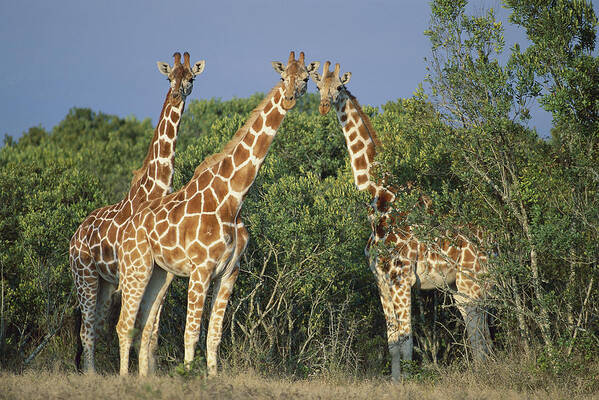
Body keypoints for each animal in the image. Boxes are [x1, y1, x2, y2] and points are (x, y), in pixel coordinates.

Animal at [69, 51, 205, 374]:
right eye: (169, 78)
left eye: (191, 78)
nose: (178, 93)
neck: (155, 189)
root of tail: (76, 234)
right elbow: (137, 327)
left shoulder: (163, 275)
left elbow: (151, 330)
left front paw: (150, 373)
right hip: (84, 275)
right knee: (86, 327)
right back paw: (90, 374)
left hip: (107, 283)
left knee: (97, 325)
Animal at [113, 51, 318, 376]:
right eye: (283, 76)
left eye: (306, 78)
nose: (288, 98)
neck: (232, 199)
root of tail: (124, 229)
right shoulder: (201, 269)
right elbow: (191, 332)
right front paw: (188, 376)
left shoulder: (230, 272)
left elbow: (214, 334)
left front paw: (213, 377)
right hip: (137, 267)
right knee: (124, 324)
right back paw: (124, 378)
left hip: (160, 274)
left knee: (144, 325)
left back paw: (144, 376)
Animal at [310, 62, 492, 382]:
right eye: (318, 86)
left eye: (339, 87)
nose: (323, 106)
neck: (379, 198)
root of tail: (494, 239)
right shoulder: (381, 280)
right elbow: (393, 341)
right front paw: (395, 383)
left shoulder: (401, 278)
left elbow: (406, 341)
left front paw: (407, 383)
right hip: (461, 287)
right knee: (479, 333)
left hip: (472, 282)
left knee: (479, 333)